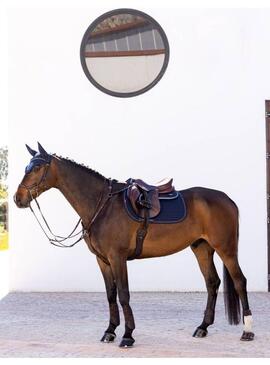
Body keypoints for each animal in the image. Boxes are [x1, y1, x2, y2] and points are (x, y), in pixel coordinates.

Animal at [13, 142, 254, 346]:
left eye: (36, 168)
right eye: (26, 167)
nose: (18, 198)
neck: (102, 206)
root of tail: (227, 199)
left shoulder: (117, 258)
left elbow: (123, 294)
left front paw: (128, 335)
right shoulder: (102, 260)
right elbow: (111, 295)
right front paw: (110, 331)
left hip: (226, 249)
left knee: (239, 281)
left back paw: (247, 330)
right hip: (201, 248)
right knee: (212, 283)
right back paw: (202, 327)